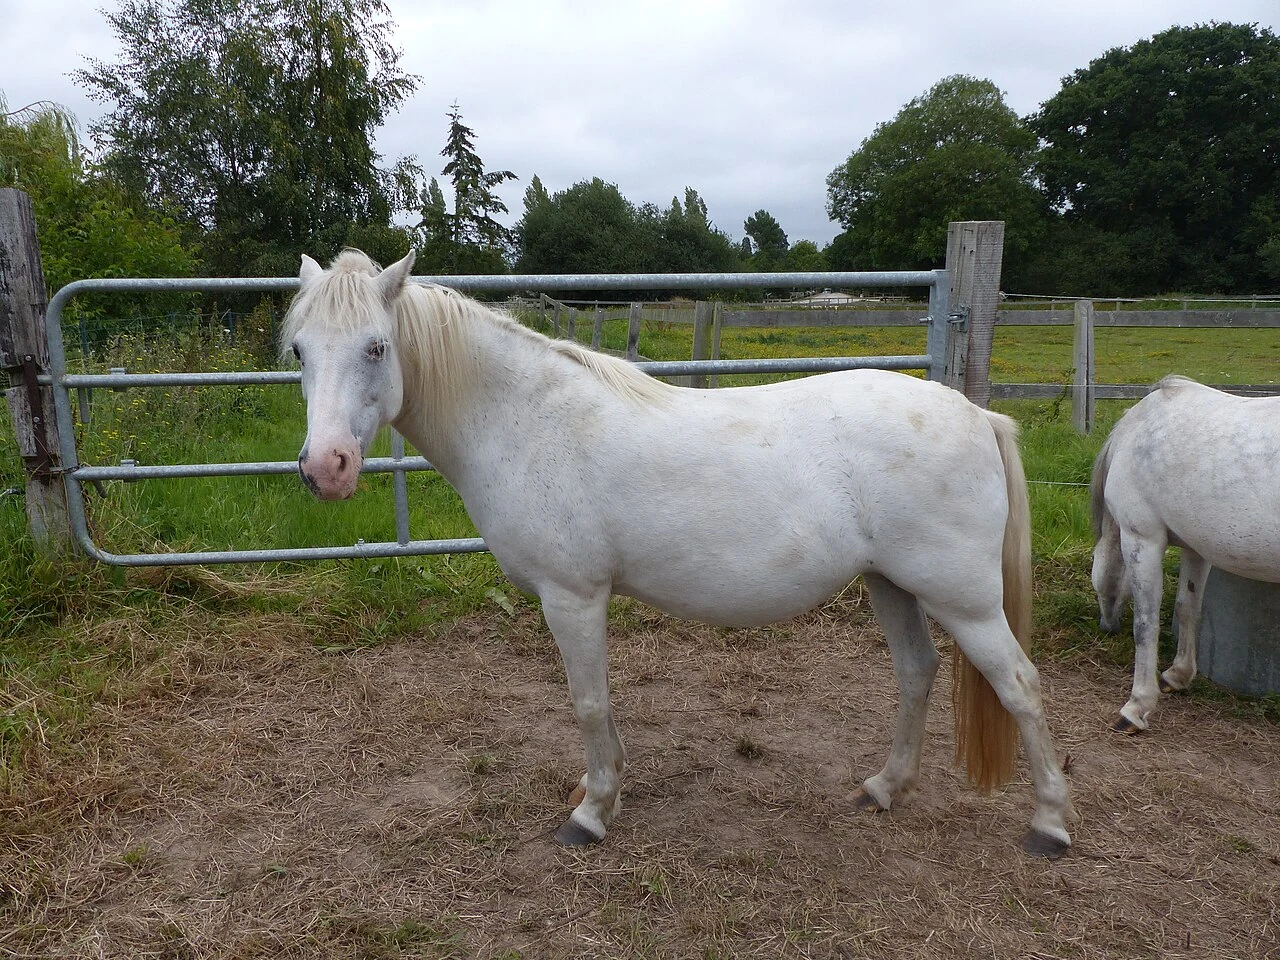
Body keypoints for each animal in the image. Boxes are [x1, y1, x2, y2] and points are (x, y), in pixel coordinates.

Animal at [281, 249, 1074, 858]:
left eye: (376, 347)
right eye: (299, 351)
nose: (326, 468)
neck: (526, 420)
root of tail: (976, 413)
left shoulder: (573, 597)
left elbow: (589, 701)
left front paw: (591, 813)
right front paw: (598, 789)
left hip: (962, 598)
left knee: (1021, 686)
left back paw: (1050, 824)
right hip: (891, 584)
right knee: (917, 673)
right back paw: (882, 788)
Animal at [1092, 375, 1280, 733]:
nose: (1107, 626)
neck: (1136, 430)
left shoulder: (1142, 540)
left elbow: (1145, 624)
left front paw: (1137, 706)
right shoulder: (1196, 548)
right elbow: (1188, 608)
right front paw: (1178, 675)